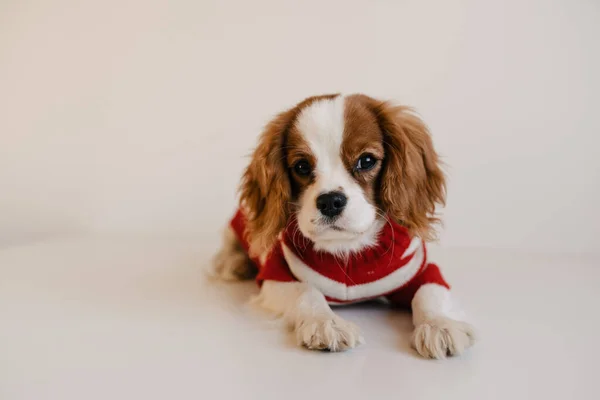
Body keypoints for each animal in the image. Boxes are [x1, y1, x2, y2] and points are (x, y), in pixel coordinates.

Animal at [213, 94, 476, 360]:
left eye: (366, 161)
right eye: (302, 166)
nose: (330, 201)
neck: (349, 251)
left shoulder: (422, 271)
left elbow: (429, 292)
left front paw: (438, 325)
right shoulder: (275, 276)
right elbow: (306, 292)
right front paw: (325, 322)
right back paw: (231, 263)